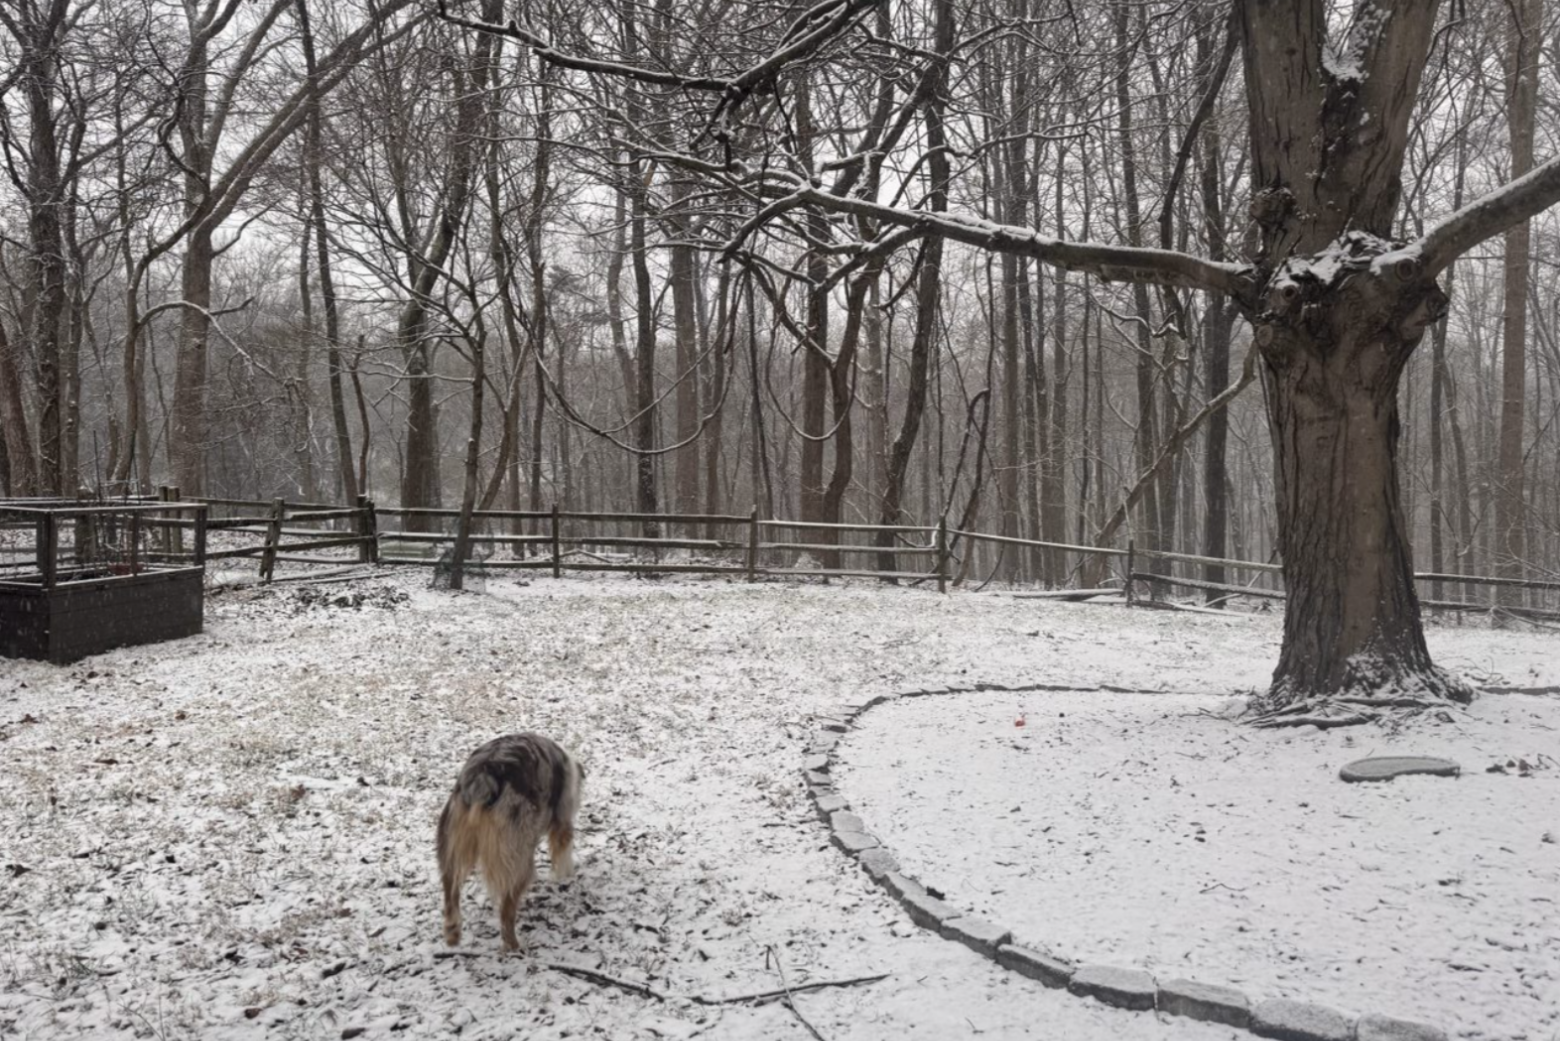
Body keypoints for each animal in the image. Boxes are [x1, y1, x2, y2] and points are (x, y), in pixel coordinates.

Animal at [436, 733, 583, 955]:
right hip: (518, 862)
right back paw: (514, 946)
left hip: (453, 845)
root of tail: (483, 778)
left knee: (450, 888)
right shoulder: (562, 824)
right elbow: (564, 857)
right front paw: (565, 878)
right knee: (507, 911)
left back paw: (452, 932)